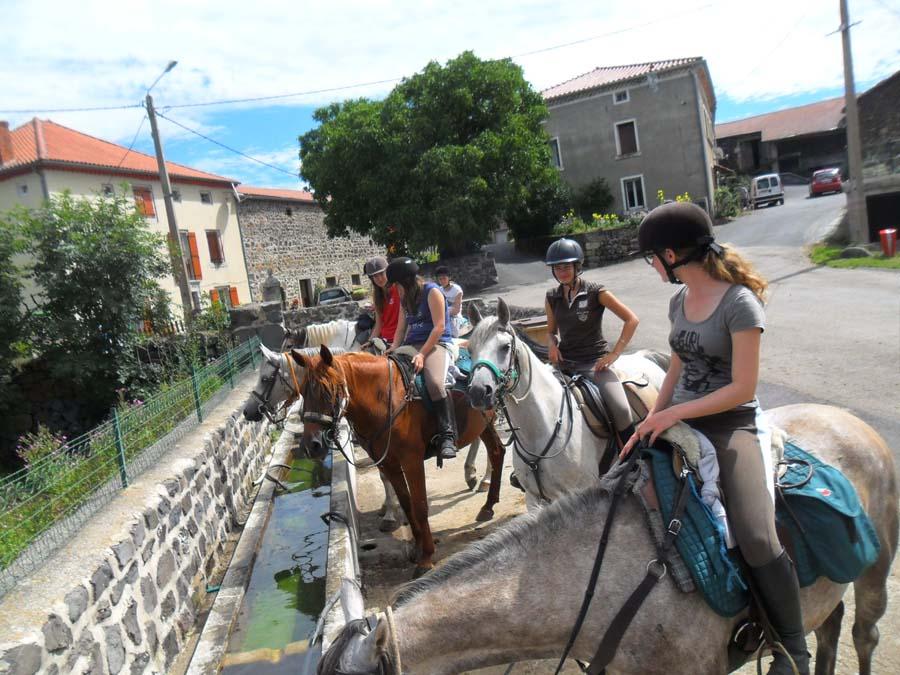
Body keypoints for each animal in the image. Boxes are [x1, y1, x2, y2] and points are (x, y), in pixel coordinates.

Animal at [296, 348, 506, 576]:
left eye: (327, 391)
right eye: (302, 393)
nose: (312, 446)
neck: (385, 398)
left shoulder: (411, 461)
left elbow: (420, 506)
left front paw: (426, 558)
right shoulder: (388, 464)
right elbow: (406, 504)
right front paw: (417, 547)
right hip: (484, 424)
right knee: (497, 452)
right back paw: (488, 506)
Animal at [468, 298, 664, 510]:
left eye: (504, 347)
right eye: (470, 350)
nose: (478, 392)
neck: (541, 427)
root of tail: (644, 357)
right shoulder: (533, 499)